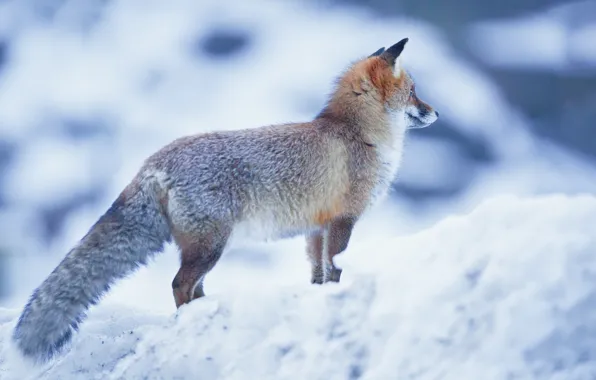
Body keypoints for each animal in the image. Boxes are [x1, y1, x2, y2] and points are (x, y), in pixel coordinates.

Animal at [9, 37, 438, 362]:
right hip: (210, 246)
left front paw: (319, 297)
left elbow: (317, 272)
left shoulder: (316, 227)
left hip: (206, 247)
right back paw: (190, 322)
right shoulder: (343, 220)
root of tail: (154, 161)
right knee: (179, 285)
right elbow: (335, 267)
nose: (436, 113)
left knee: (192, 287)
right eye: (415, 92)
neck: (358, 134)